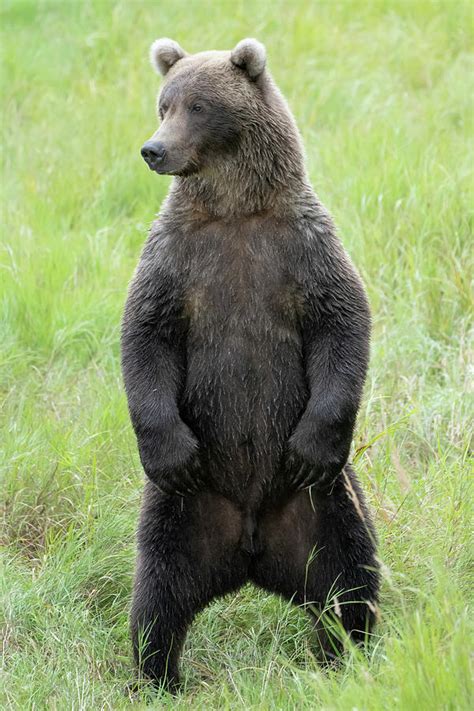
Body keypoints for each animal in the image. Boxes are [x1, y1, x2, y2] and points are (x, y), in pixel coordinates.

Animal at [122, 37, 382, 688]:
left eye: (198, 106)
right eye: (163, 103)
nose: (153, 149)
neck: (236, 210)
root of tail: (250, 548)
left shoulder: (301, 248)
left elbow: (343, 324)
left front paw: (313, 443)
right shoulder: (177, 258)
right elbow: (146, 336)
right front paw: (167, 448)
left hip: (323, 507)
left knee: (349, 581)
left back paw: (348, 657)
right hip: (183, 511)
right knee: (158, 595)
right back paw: (158, 673)